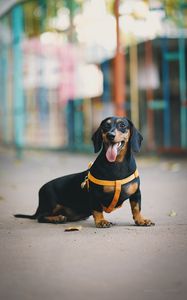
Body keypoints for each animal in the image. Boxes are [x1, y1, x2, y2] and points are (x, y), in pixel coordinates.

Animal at [14, 116, 154, 226]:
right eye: (106, 126)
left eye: (122, 125)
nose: (110, 135)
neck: (117, 164)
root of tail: (41, 190)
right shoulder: (95, 194)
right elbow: (97, 209)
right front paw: (101, 221)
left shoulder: (136, 193)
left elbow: (136, 208)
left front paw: (141, 220)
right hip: (51, 205)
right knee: (40, 217)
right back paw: (57, 218)